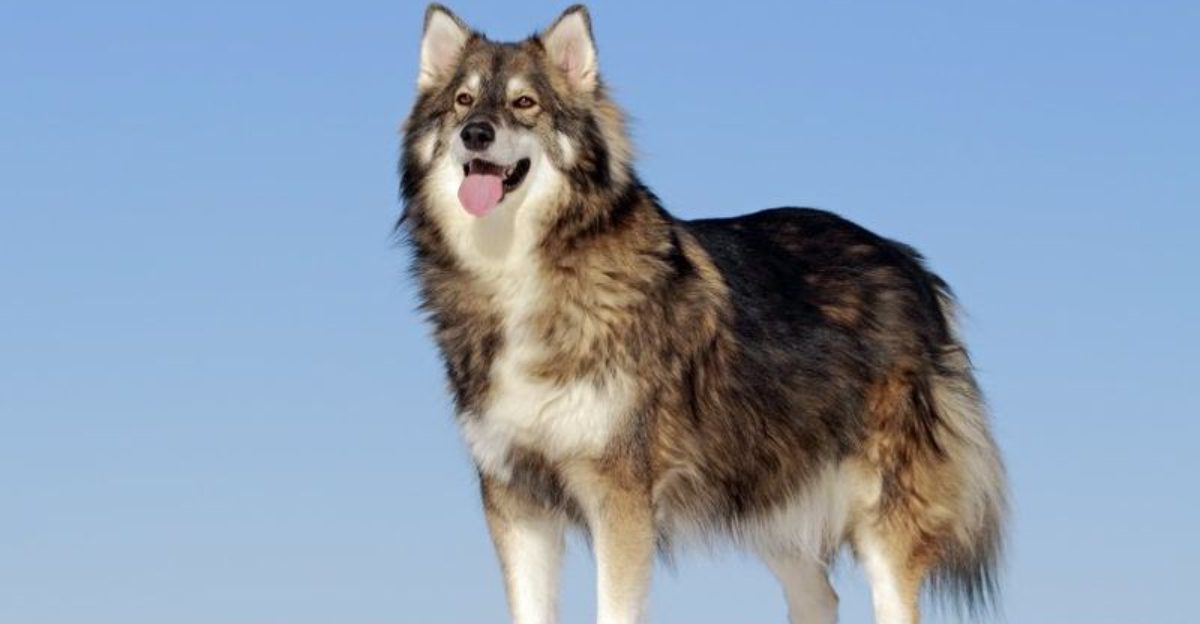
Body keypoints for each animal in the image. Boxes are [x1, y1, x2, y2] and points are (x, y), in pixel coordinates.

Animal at [398, 5, 1006, 623]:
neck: (522, 269)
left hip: (879, 515)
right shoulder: (516, 501)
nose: (476, 133)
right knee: (819, 596)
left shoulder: (620, 497)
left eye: (525, 103)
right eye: (463, 100)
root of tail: (908, 261)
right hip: (772, 499)